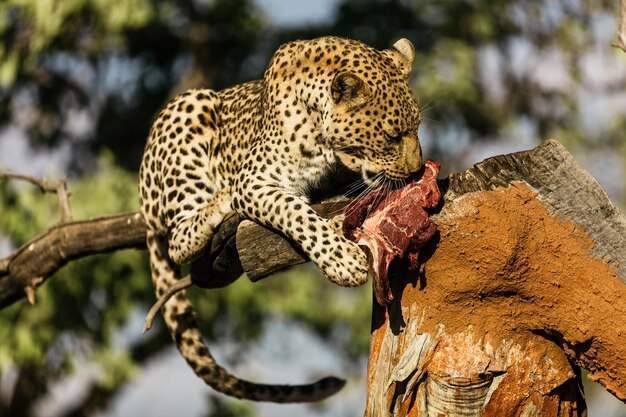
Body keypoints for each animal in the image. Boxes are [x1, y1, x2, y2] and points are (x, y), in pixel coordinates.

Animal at [138, 36, 422, 404]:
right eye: (391, 137)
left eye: (417, 127)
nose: (417, 170)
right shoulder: (253, 181)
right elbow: (295, 211)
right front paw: (343, 262)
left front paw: (341, 222)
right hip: (189, 106)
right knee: (178, 239)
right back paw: (220, 202)